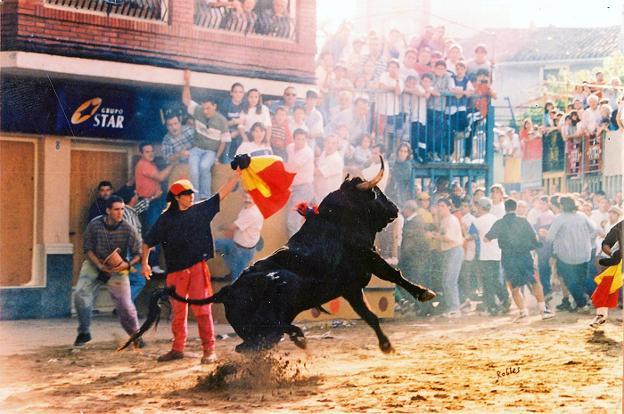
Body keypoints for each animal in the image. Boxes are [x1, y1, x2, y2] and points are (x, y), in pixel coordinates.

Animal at [119, 160, 436, 354]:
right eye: (376, 193)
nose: (395, 209)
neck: (336, 221)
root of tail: (227, 291)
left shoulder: (352, 286)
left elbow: (372, 309)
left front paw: (388, 342)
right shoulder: (363, 267)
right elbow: (390, 280)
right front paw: (424, 295)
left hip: (255, 331)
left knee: (252, 343)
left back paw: (294, 338)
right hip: (284, 288)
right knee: (275, 327)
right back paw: (298, 334)